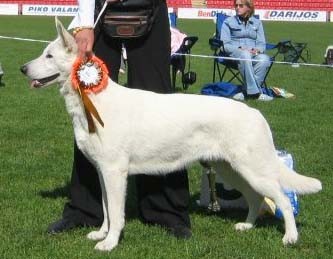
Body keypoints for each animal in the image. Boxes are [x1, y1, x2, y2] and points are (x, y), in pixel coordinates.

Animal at [21, 18, 322, 254]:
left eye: (49, 56)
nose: (23, 69)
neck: (93, 99)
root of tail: (255, 113)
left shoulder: (114, 172)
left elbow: (116, 214)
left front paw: (110, 243)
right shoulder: (102, 171)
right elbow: (106, 209)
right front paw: (102, 233)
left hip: (252, 170)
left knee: (283, 198)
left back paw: (290, 238)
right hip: (232, 170)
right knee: (256, 198)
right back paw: (247, 225)